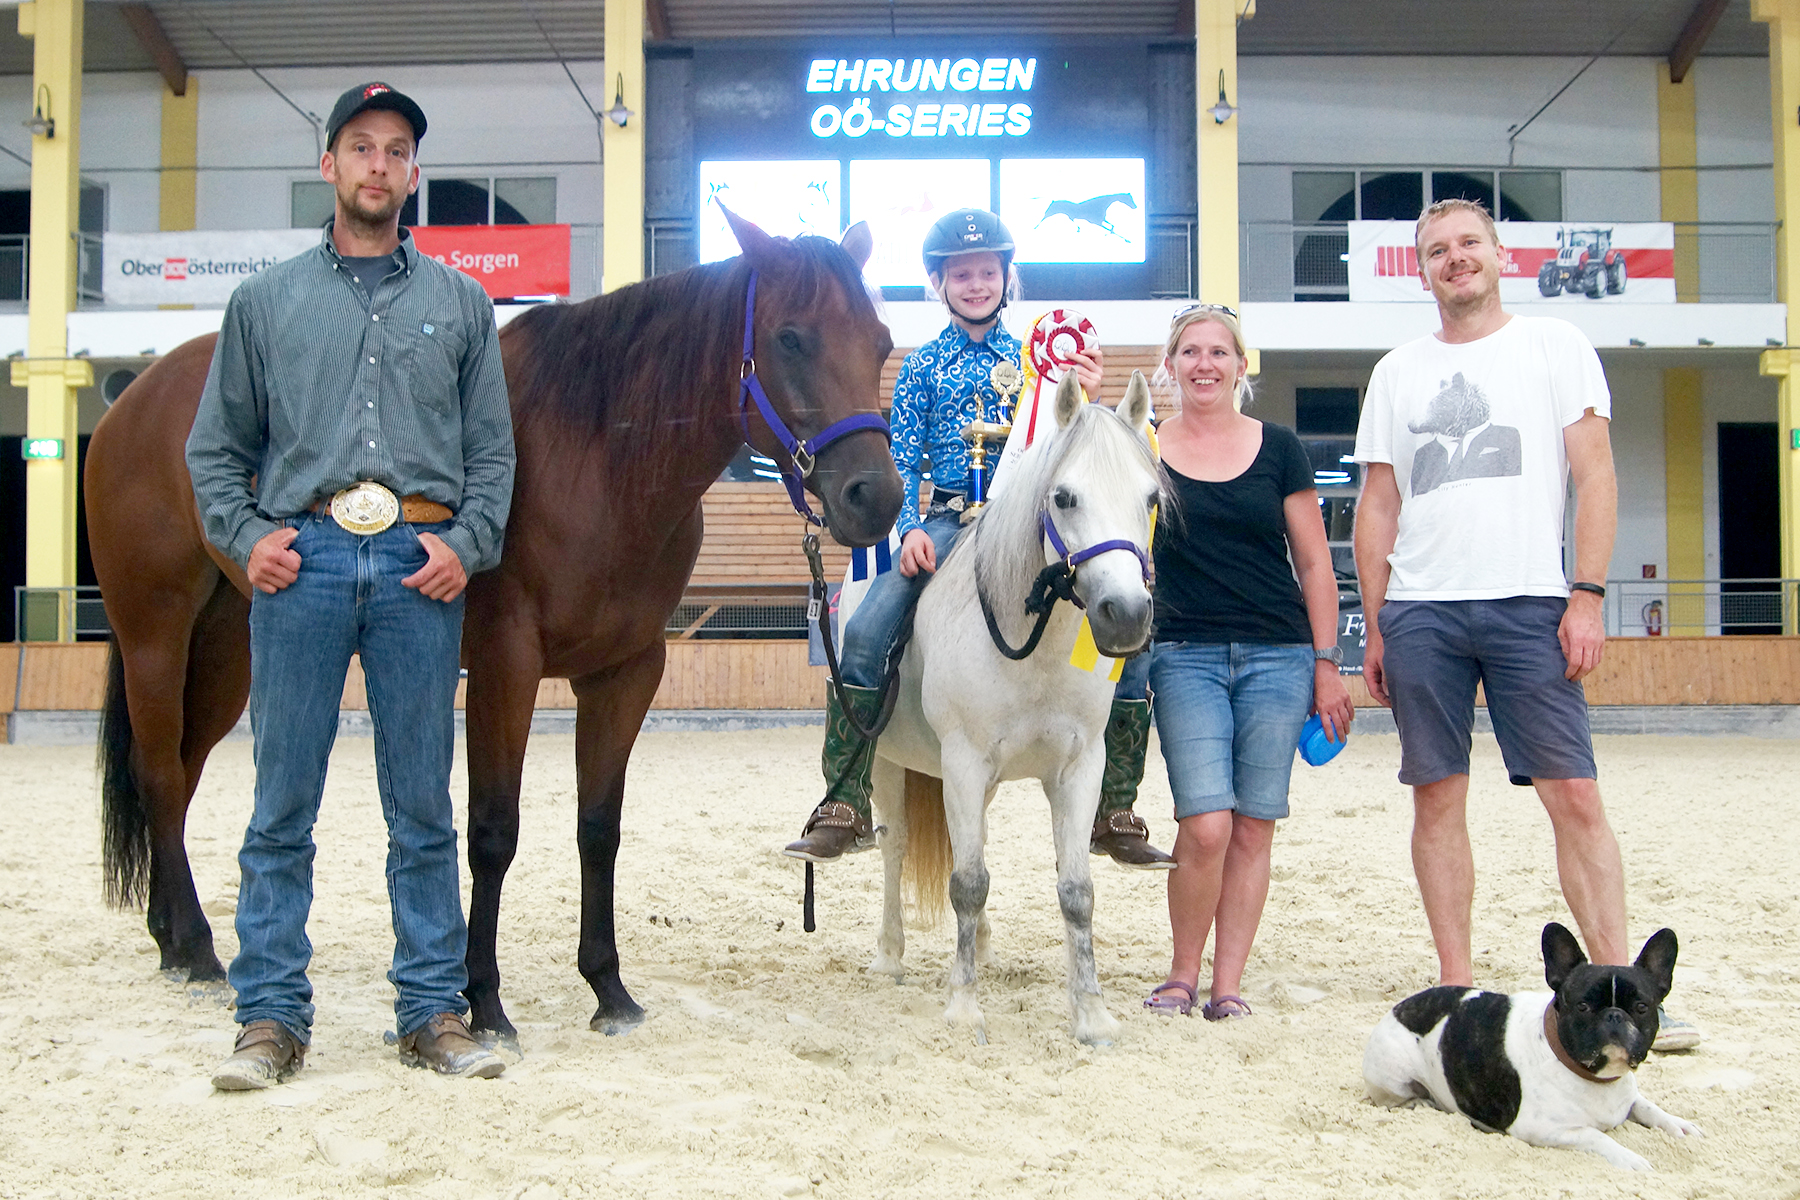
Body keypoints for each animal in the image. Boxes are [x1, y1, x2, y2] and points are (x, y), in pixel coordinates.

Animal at [87, 215, 900, 1043]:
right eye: (791, 338)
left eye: (879, 340)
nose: (877, 496)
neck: (597, 455)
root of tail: (133, 398)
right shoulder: (506, 664)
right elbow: (492, 831)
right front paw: (482, 1000)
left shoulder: (627, 672)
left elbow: (599, 828)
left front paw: (608, 988)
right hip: (156, 636)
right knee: (159, 774)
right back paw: (195, 948)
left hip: (228, 648)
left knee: (180, 774)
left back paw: (171, 938)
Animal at [864, 370, 1159, 1043]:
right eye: (1065, 497)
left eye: (1151, 499)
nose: (1127, 614)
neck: (1033, 649)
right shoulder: (964, 762)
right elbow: (968, 883)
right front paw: (963, 1008)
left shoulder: (1078, 767)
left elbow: (1076, 890)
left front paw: (1092, 1015)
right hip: (889, 763)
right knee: (895, 846)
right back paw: (890, 955)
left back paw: (982, 947)